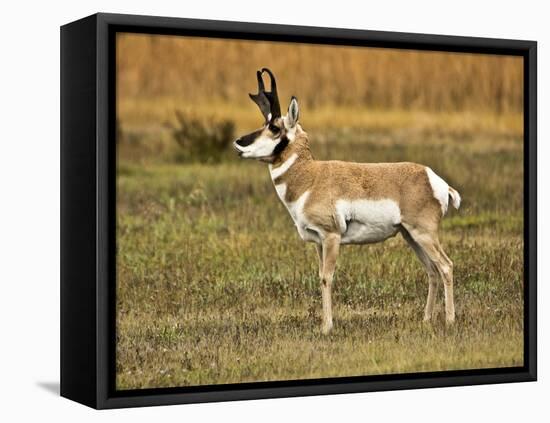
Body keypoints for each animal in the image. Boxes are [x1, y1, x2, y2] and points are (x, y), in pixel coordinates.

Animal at [235, 68, 464, 334]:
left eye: (273, 127)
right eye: (264, 123)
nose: (238, 142)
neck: (311, 177)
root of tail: (434, 179)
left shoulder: (331, 236)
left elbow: (327, 277)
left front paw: (327, 327)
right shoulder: (318, 242)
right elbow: (320, 277)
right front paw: (323, 324)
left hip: (423, 234)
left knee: (446, 266)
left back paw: (450, 320)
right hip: (410, 236)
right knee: (432, 270)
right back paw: (426, 320)